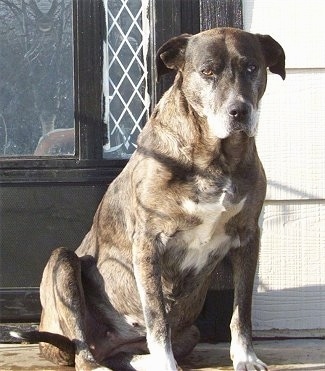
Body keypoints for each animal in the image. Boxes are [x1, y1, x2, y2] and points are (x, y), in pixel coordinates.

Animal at [10, 27, 284, 370]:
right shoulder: (149, 242)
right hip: (63, 263)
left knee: (128, 357)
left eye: (251, 67)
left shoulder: (247, 238)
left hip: (189, 333)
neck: (215, 157)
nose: (239, 111)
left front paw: (246, 357)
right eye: (207, 72)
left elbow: (242, 308)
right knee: (83, 350)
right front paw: (167, 362)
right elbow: (157, 317)